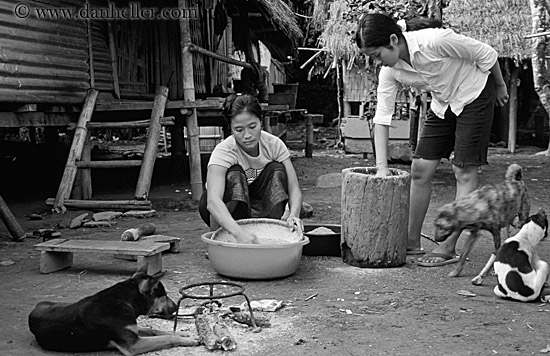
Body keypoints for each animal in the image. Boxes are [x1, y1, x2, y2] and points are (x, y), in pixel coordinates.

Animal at [28, 268, 199, 356]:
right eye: (163, 295)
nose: (176, 307)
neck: (125, 300)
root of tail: (33, 310)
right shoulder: (133, 345)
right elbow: (166, 338)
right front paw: (189, 339)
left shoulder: (132, 328)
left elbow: (154, 330)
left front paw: (182, 334)